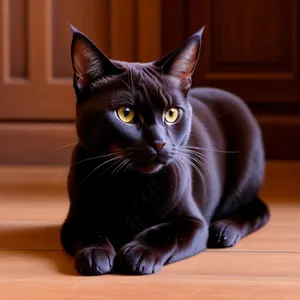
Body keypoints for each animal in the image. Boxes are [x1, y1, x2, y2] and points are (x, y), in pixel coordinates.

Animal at [60, 25, 270, 276]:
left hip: (245, 172)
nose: (159, 142)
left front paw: (138, 253)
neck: (132, 185)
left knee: (257, 208)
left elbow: (166, 232)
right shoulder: (75, 219)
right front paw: (95, 253)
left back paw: (225, 229)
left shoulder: (194, 223)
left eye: (172, 114)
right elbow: (89, 229)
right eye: (125, 114)